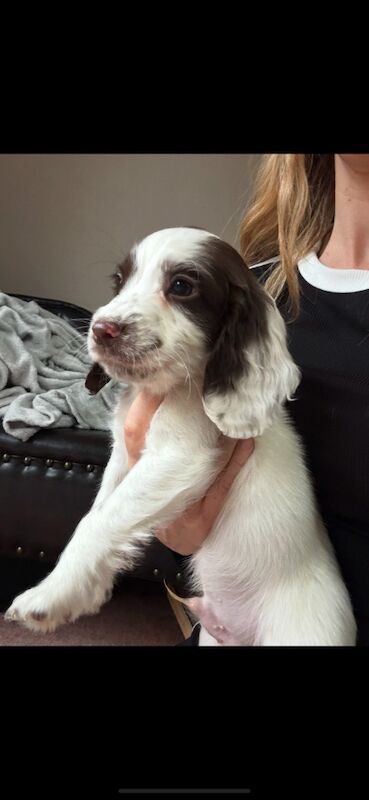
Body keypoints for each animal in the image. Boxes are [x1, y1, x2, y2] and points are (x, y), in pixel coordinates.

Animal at [5, 228, 356, 648]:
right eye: (119, 281)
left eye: (182, 286)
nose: (101, 329)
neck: (170, 389)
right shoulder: (123, 458)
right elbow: (97, 511)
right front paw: (85, 590)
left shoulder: (180, 457)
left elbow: (100, 522)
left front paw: (50, 596)